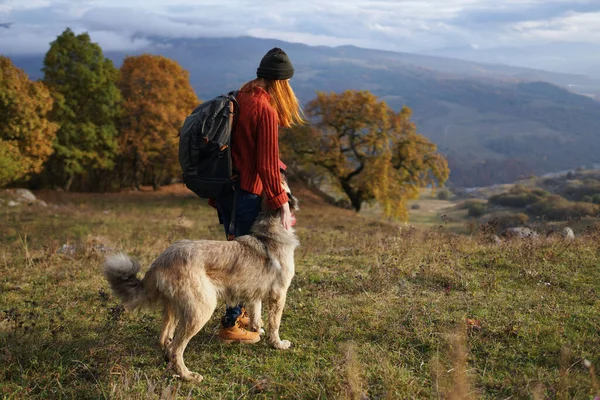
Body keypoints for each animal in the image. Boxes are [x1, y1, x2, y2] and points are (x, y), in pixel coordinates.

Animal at [104, 174, 300, 382]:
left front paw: (257, 330)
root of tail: (161, 260)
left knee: (165, 338)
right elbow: (275, 323)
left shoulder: (254, 293)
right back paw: (187, 375)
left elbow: (257, 315)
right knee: (177, 348)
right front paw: (277, 344)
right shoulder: (279, 294)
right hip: (201, 309)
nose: (282, 172)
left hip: (174, 308)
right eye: (282, 184)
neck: (270, 228)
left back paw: (169, 361)